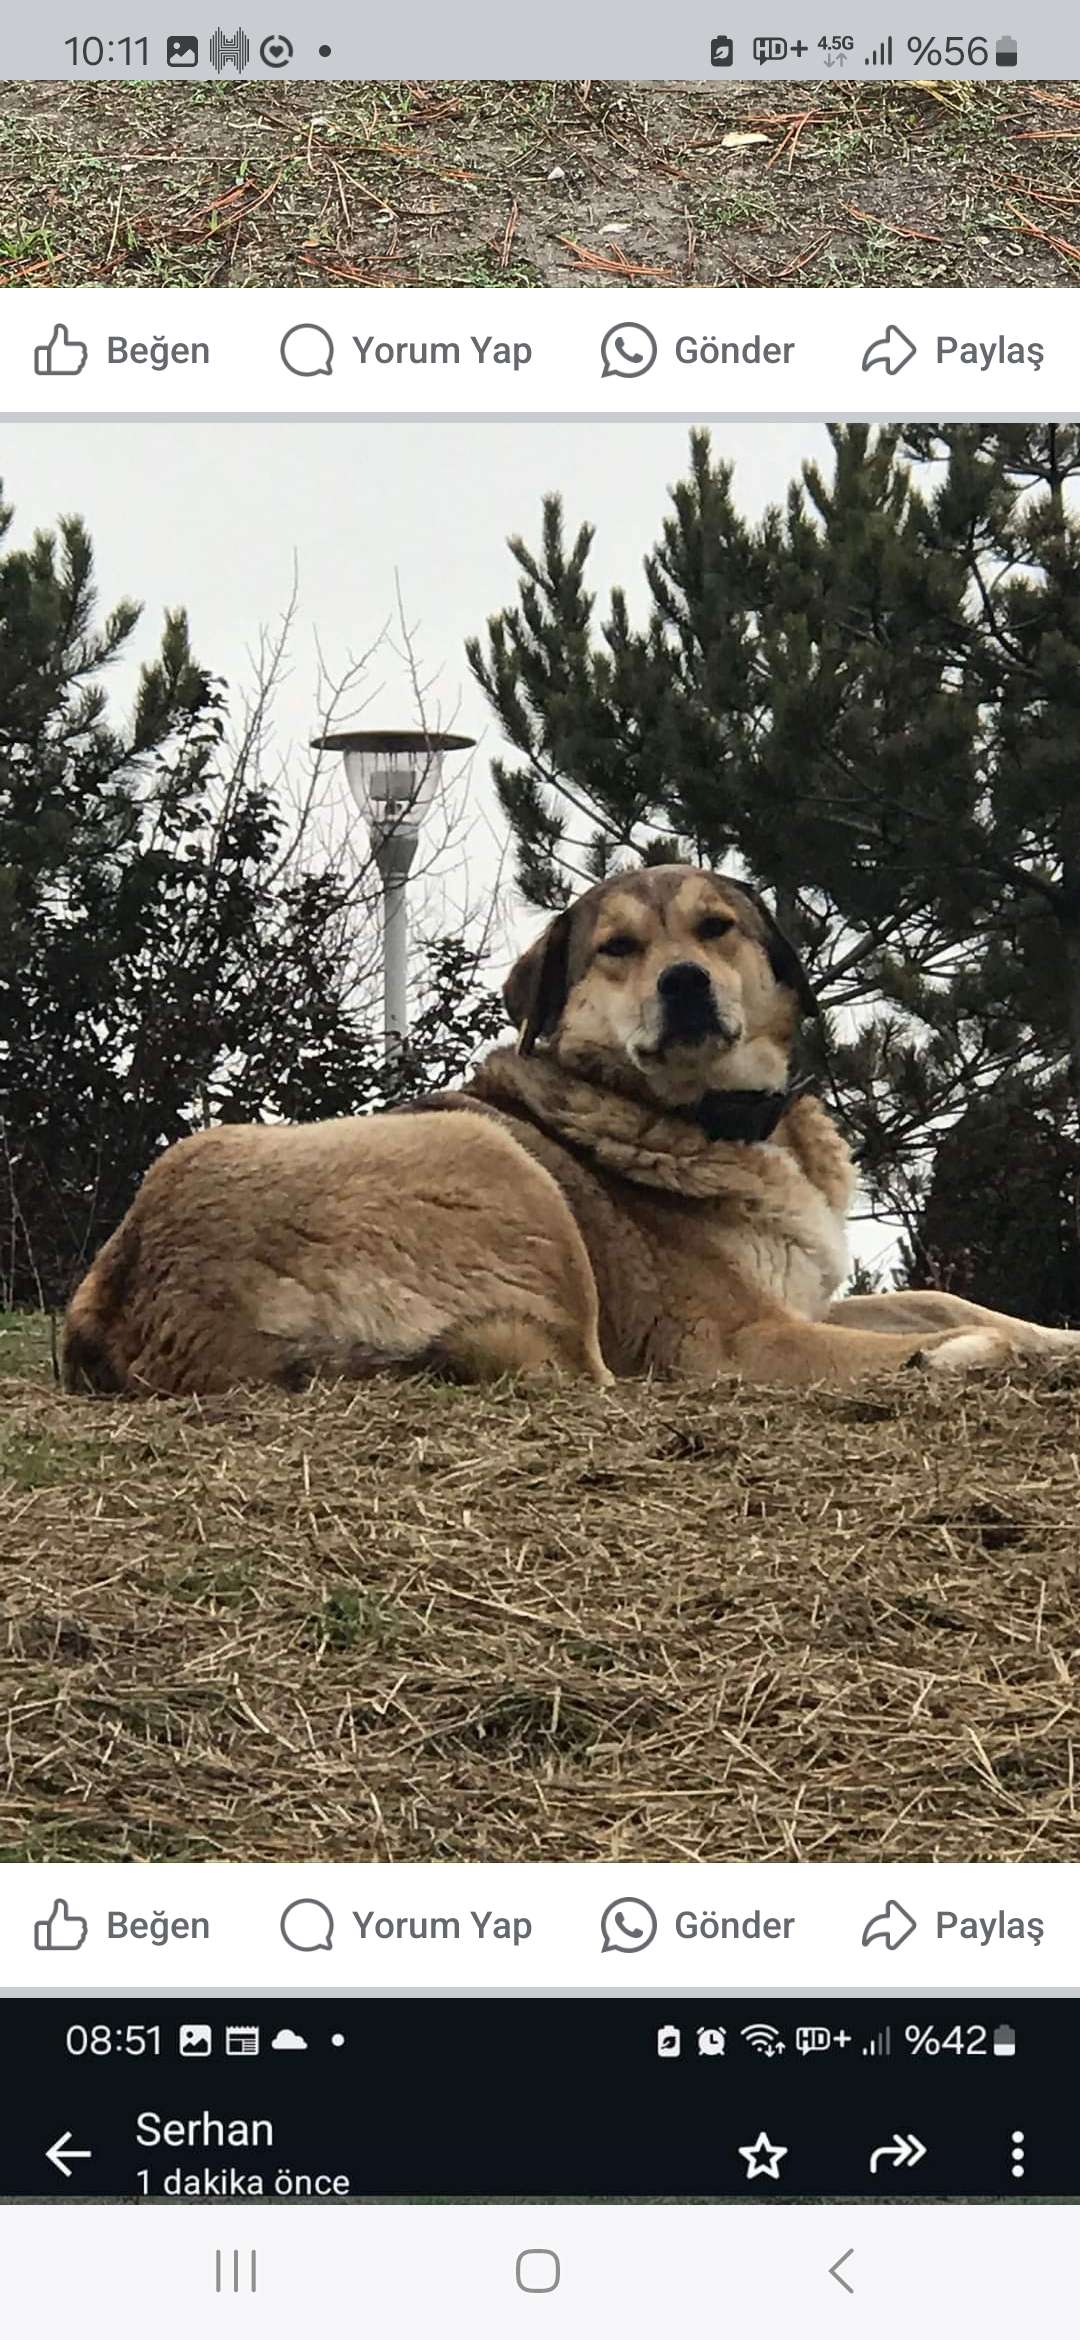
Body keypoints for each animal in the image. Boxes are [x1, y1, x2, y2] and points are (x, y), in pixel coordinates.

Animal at [63, 870, 1080, 1394]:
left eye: (717, 929)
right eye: (617, 948)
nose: (683, 983)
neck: (707, 1115)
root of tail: (121, 1304)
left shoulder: (802, 1299)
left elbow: (952, 1299)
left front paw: (1045, 1334)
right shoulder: (739, 1341)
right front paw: (992, 1350)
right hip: (495, 1162)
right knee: (594, 1377)